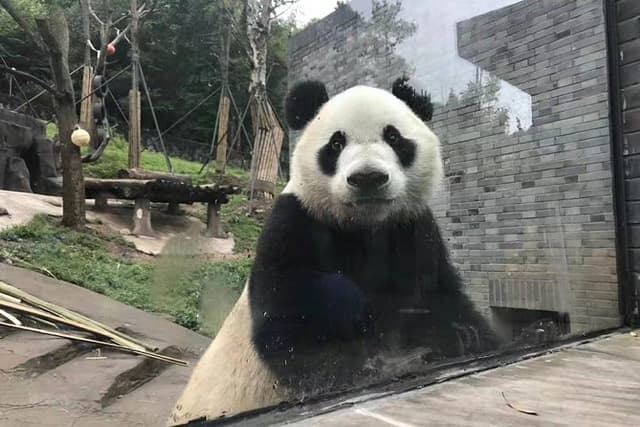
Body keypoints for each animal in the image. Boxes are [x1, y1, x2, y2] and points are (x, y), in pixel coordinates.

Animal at [168, 78, 500, 426]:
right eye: (336, 143)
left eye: (393, 137)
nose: (368, 177)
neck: (365, 225)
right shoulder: (294, 222)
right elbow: (291, 330)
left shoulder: (412, 229)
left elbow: (445, 304)